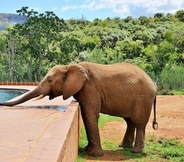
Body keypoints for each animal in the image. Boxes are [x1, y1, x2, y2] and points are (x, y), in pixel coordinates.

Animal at [0, 61, 158, 156]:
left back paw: (135, 152)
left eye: (50, 80)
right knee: (129, 121)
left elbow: (89, 114)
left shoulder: (90, 88)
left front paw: (94, 155)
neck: (70, 66)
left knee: (139, 123)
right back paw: (123, 147)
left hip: (142, 98)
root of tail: (154, 86)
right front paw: (88, 150)